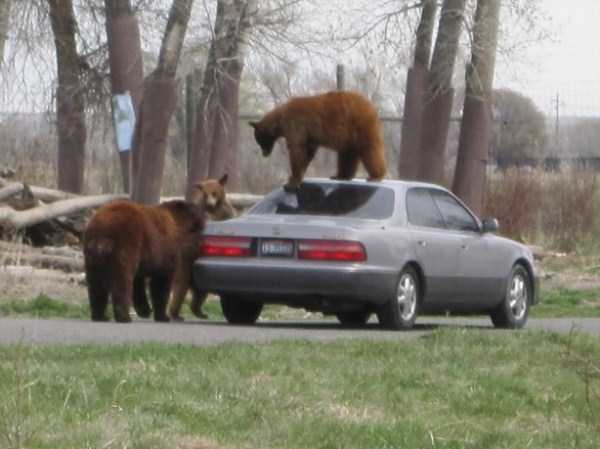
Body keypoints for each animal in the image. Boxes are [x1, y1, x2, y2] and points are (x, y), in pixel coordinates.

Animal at [168, 173, 238, 320]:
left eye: (215, 193)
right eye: (206, 194)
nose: (211, 203)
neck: (214, 209)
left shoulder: (226, 211)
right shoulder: (198, 214)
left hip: (199, 279)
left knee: (199, 295)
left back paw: (200, 312)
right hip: (184, 266)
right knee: (180, 289)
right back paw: (176, 314)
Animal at [250, 90, 386, 190]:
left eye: (260, 140)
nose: (264, 154)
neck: (280, 119)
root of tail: (371, 106)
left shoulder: (296, 125)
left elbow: (297, 149)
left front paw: (292, 181)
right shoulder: (310, 137)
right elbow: (307, 153)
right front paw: (295, 177)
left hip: (360, 125)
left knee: (369, 149)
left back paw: (375, 176)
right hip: (349, 137)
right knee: (347, 154)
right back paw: (340, 175)